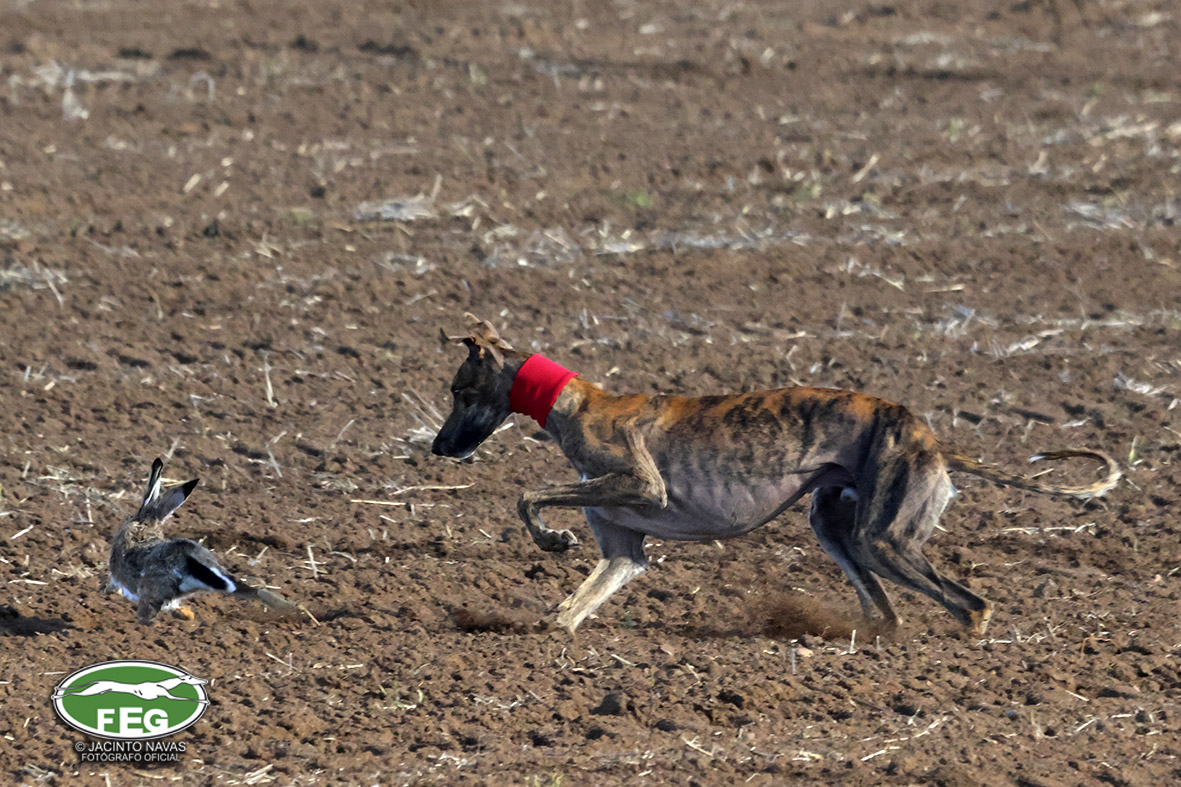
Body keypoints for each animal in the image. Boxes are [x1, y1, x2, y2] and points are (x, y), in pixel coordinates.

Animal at [431, 314, 1120, 636]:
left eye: (459, 390)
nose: (438, 448)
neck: (578, 405)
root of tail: (932, 438)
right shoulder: (624, 553)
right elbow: (569, 610)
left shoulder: (640, 484)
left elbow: (528, 495)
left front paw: (552, 538)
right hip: (837, 528)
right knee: (889, 613)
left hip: (884, 538)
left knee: (971, 605)